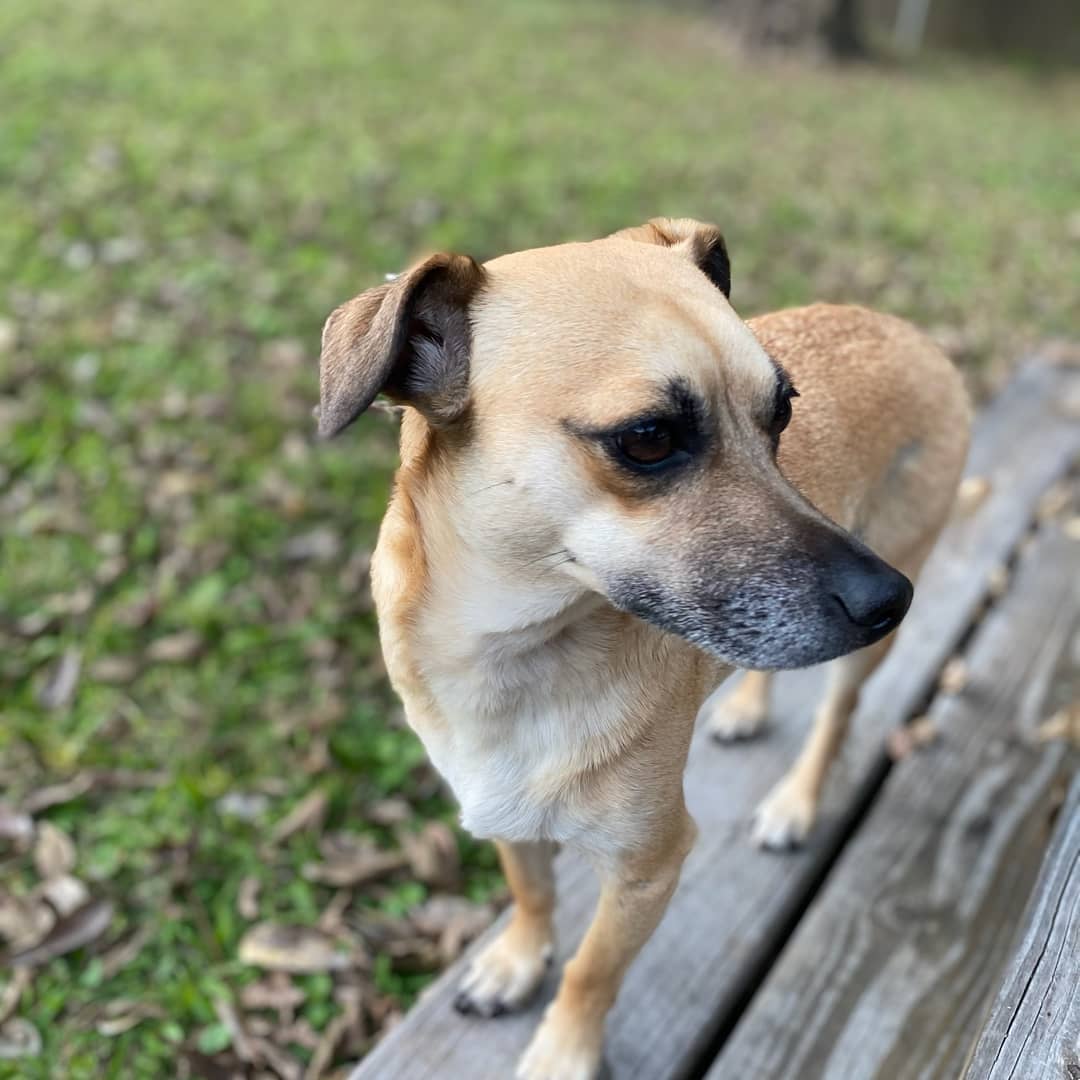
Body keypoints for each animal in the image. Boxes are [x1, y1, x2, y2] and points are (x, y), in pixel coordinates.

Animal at [317, 214, 972, 1075]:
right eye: (651, 438)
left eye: (782, 414)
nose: (889, 600)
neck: (512, 657)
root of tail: (916, 336)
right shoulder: (503, 812)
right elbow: (532, 892)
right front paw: (518, 961)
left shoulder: (647, 866)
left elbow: (593, 970)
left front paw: (563, 1052)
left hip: (869, 637)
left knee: (835, 719)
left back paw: (795, 804)